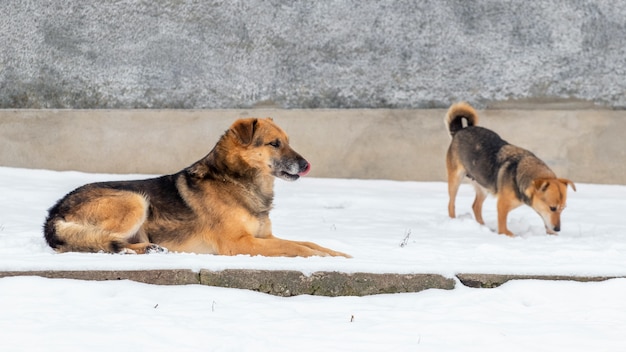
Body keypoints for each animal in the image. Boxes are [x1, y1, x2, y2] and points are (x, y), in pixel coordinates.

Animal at [43, 117, 348, 258]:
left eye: (288, 141)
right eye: (275, 143)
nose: (306, 164)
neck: (235, 180)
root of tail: (54, 213)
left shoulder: (264, 237)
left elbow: (306, 242)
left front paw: (338, 254)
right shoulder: (240, 243)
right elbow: (296, 247)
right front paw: (319, 257)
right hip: (134, 200)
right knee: (99, 242)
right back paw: (139, 249)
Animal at [444, 102, 576, 236]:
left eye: (563, 208)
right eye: (552, 208)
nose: (558, 229)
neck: (519, 176)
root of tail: (460, 130)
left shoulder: (538, 207)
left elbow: (545, 220)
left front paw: (552, 235)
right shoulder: (502, 206)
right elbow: (504, 229)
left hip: (483, 184)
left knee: (476, 206)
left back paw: (483, 227)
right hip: (456, 179)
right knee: (451, 204)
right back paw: (453, 221)